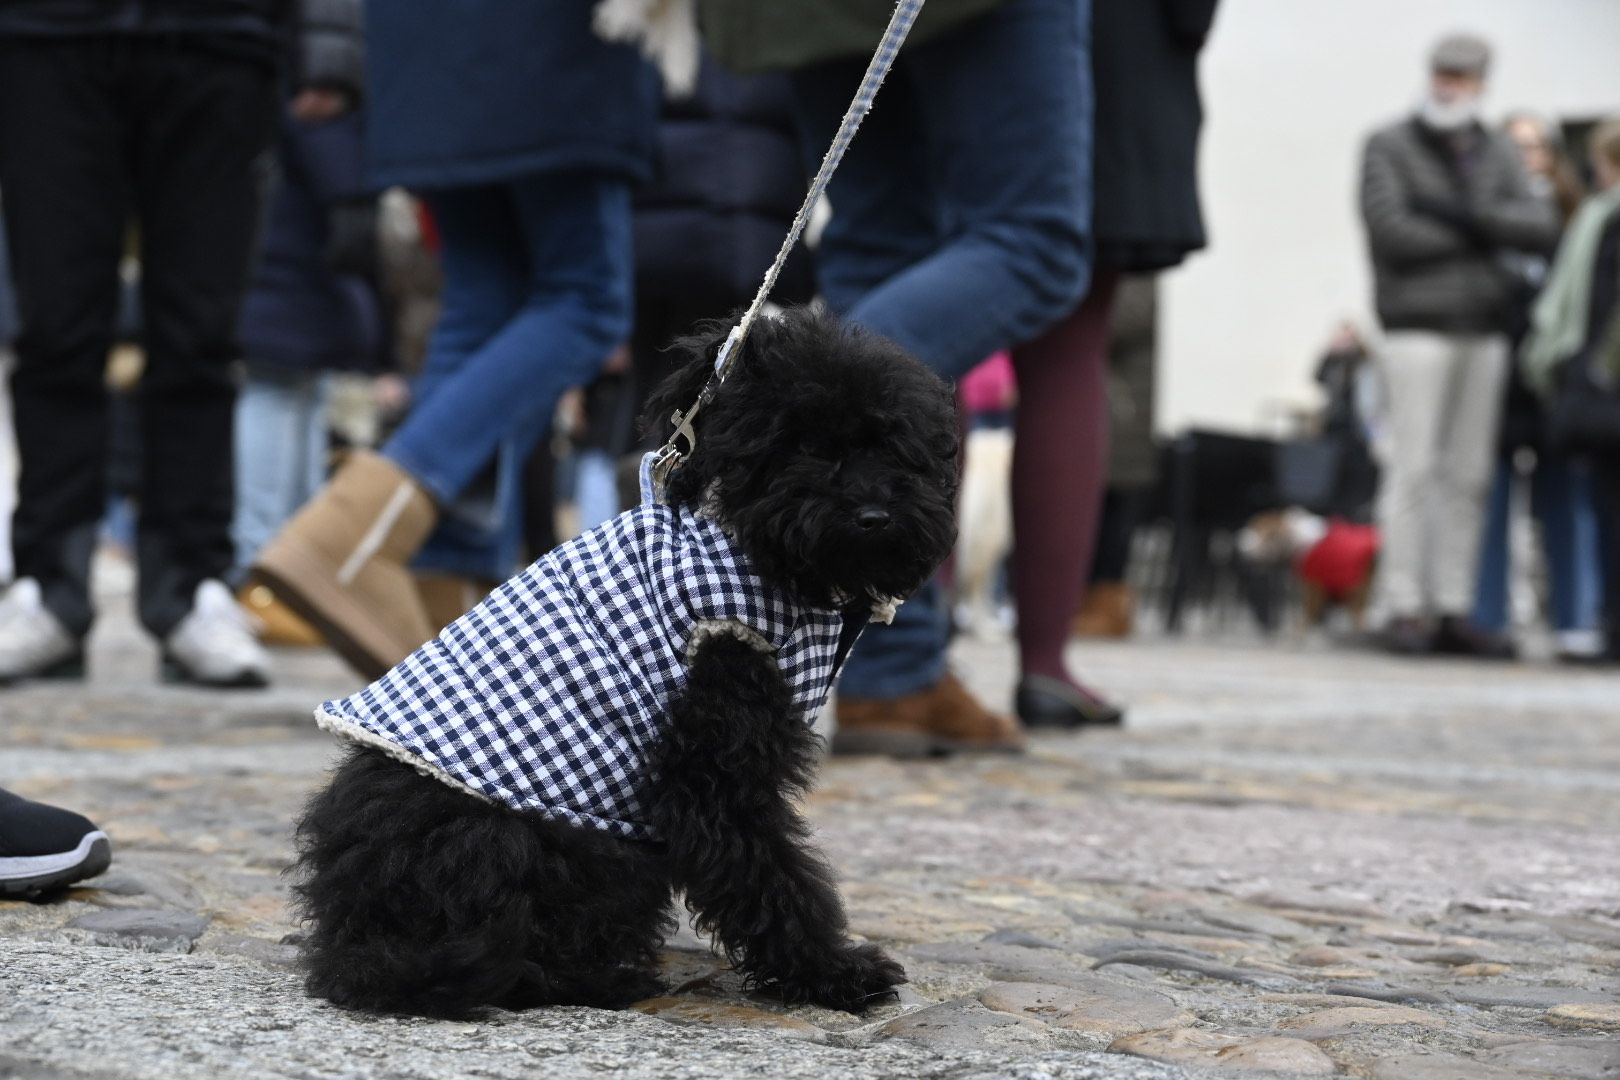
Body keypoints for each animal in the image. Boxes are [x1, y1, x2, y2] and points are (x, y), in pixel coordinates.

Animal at [291, 310, 959, 1023]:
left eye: (894, 444)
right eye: (801, 442)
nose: (873, 515)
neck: (759, 551)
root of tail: (355, 938)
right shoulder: (714, 764)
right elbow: (769, 872)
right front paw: (833, 972)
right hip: (557, 848)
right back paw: (605, 977)